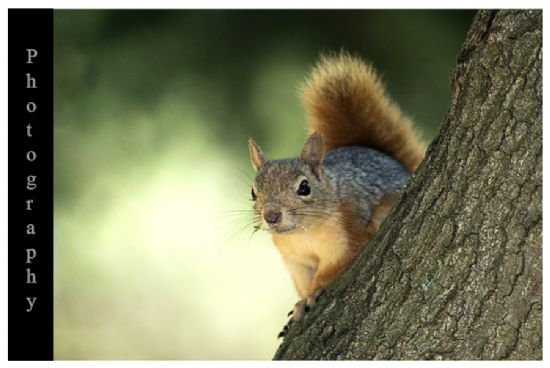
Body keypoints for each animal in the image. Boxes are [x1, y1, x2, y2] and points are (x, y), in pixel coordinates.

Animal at [249, 51, 426, 336]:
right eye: (253, 192)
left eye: (304, 187)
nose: (271, 215)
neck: (303, 234)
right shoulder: (296, 260)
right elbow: (302, 280)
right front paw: (300, 301)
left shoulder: (348, 234)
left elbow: (335, 266)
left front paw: (312, 294)